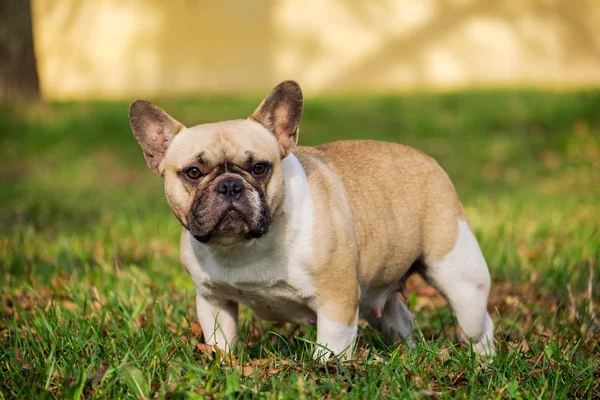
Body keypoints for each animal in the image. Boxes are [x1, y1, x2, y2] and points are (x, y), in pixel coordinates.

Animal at [129, 80, 494, 360]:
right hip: (378, 291)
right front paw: (224, 364)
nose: (230, 185)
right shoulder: (213, 301)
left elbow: (330, 350)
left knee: (479, 323)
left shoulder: (337, 302)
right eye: (193, 172)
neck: (244, 247)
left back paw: (483, 361)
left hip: (460, 277)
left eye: (260, 168)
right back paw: (408, 353)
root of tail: (429, 160)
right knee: (398, 317)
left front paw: (326, 372)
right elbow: (222, 341)